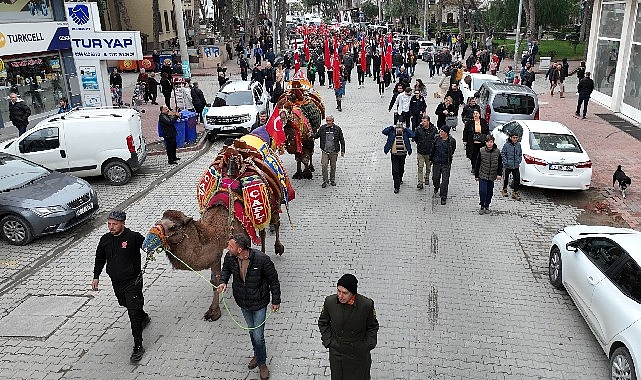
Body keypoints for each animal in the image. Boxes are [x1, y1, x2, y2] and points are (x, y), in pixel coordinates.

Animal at [141, 131, 294, 320]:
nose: (146, 243)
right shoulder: (216, 251)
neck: (216, 230)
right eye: (157, 223)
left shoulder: (241, 236)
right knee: (263, 231)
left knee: (276, 222)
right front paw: (213, 311)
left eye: (173, 227)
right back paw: (264, 252)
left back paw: (278, 248)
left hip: (272, 202)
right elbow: (216, 279)